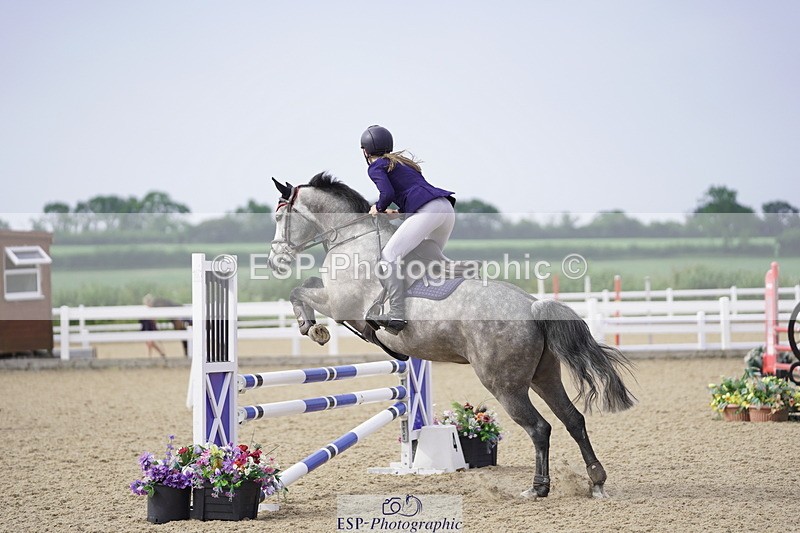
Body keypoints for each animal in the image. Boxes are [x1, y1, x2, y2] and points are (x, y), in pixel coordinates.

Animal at [266, 172, 635, 499]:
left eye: (279, 215)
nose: (274, 262)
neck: (353, 239)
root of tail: (533, 307)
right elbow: (306, 285)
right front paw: (312, 326)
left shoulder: (340, 302)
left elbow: (299, 290)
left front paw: (313, 329)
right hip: (543, 376)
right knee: (573, 419)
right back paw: (596, 482)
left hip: (505, 385)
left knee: (539, 428)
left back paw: (537, 488)